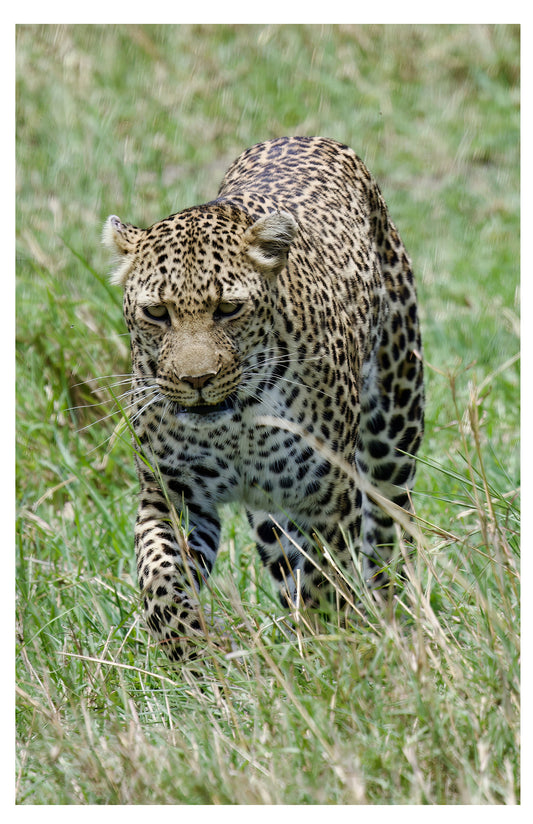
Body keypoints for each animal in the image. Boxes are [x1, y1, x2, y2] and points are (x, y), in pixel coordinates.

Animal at [103, 136, 424, 662]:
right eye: (157, 313)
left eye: (228, 309)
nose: (197, 379)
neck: (234, 425)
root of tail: (305, 136)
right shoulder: (169, 493)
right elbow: (160, 575)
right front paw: (189, 652)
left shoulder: (329, 496)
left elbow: (325, 581)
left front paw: (328, 655)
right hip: (272, 515)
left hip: (394, 428)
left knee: (388, 536)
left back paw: (394, 618)